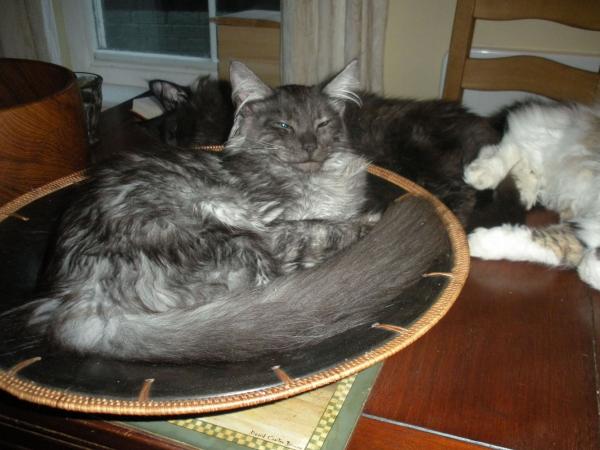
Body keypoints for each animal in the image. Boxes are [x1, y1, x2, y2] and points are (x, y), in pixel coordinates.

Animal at [4, 61, 446, 362]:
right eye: (283, 126)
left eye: (322, 125)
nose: (308, 146)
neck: (316, 179)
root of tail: (77, 302)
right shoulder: (277, 221)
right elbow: (328, 226)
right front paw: (367, 221)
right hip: (232, 236)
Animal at [150, 60, 524, 229]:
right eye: (283, 126)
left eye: (171, 132)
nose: (168, 145)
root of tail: (484, 127)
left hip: (418, 153)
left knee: (466, 194)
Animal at [464, 100, 600, 290]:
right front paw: (472, 243)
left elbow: (554, 246)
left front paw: (479, 243)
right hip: (561, 142)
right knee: (515, 142)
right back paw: (483, 173)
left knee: (521, 156)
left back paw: (524, 189)